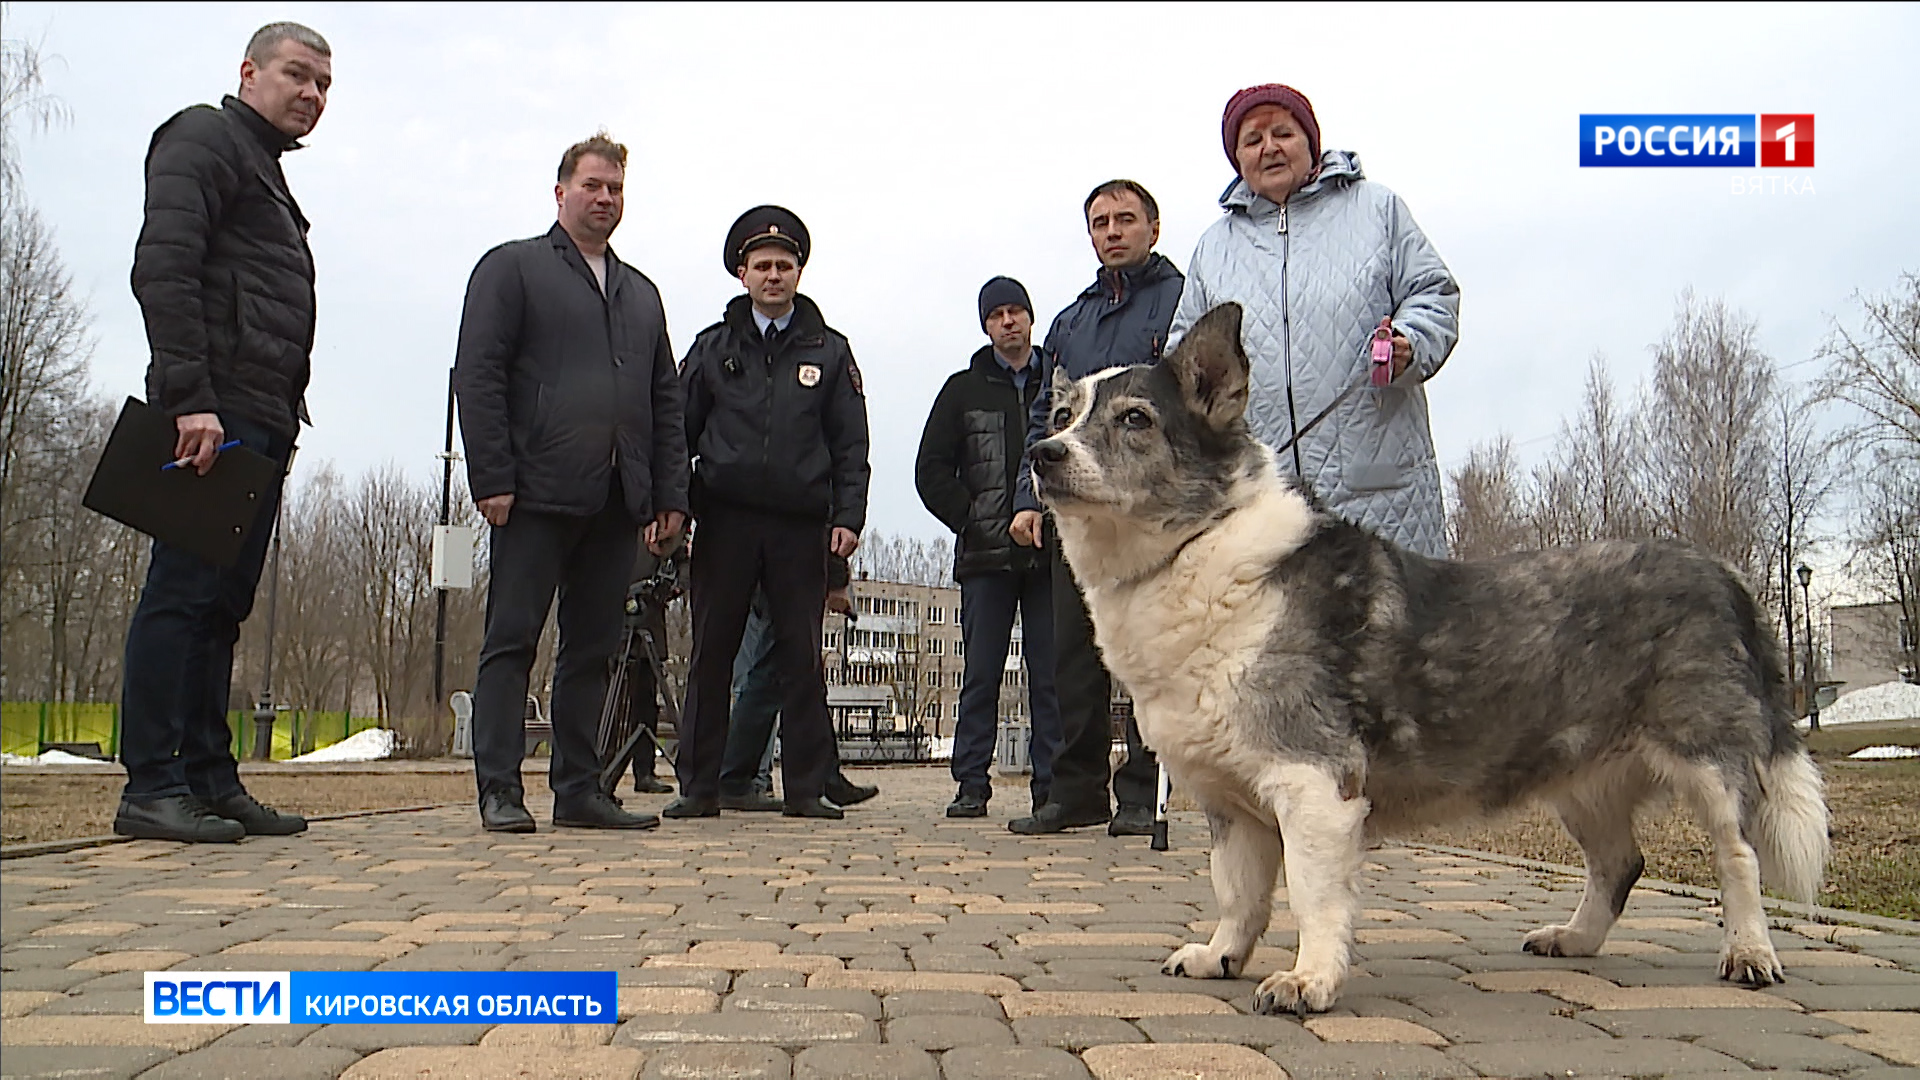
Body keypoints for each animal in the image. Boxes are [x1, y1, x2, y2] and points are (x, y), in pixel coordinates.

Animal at [1036, 299, 1827, 1006]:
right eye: (1062, 416)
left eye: (1134, 419)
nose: (1043, 456)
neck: (1196, 548)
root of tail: (1721, 570)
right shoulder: (1232, 804)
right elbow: (1239, 893)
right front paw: (1220, 955)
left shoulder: (1312, 785)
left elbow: (1312, 897)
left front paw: (1309, 980)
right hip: (1584, 782)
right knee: (1620, 863)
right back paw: (1574, 940)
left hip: (1709, 767)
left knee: (1739, 858)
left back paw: (1750, 953)